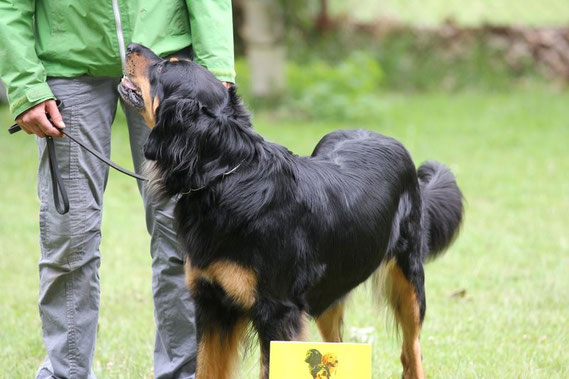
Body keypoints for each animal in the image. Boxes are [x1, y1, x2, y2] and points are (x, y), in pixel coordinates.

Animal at [118, 43, 462, 378]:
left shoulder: (277, 311)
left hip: (408, 280)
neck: (225, 177)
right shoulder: (212, 303)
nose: (131, 45)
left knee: (411, 349)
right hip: (328, 291)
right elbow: (206, 368)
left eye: (166, 65)